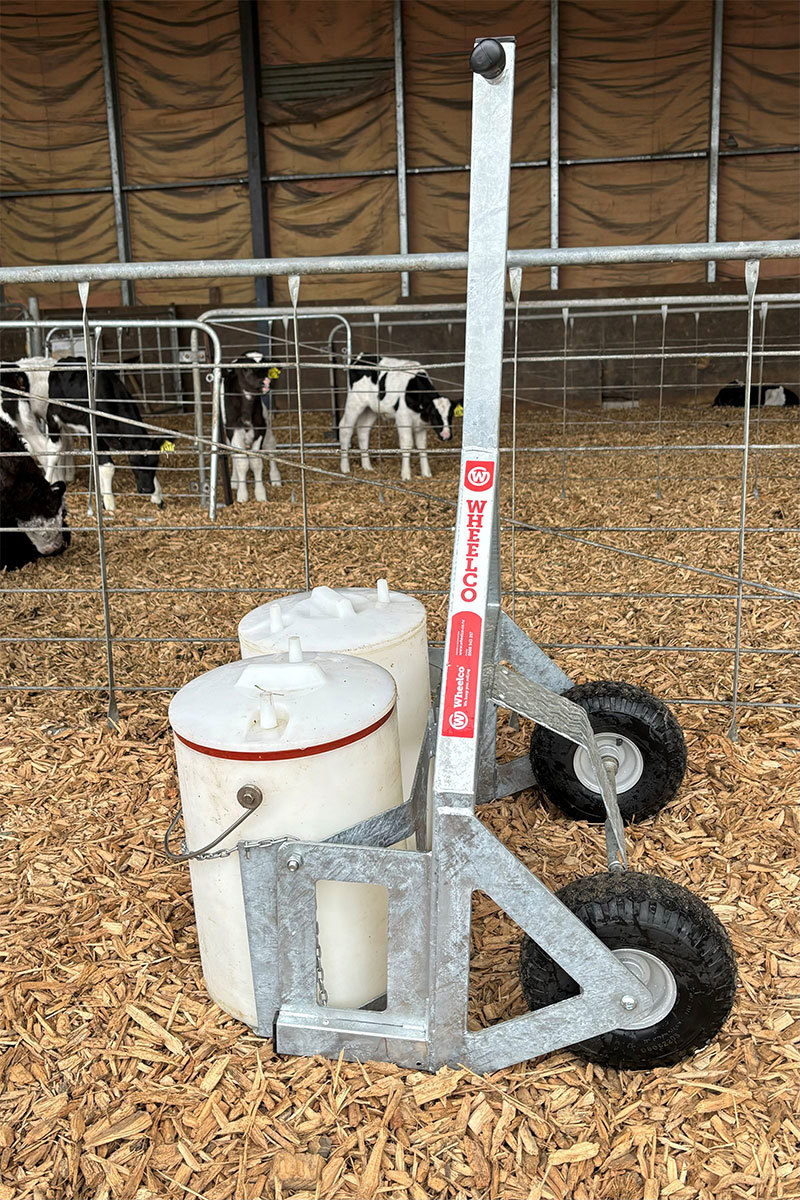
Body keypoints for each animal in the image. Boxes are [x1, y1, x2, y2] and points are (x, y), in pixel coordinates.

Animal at [221, 355, 281, 506]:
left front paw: (260, 494)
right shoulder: (234, 431)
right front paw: (242, 494)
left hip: (267, 424)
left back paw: (275, 477)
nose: (266, 381)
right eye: (246, 368)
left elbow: (256, 462)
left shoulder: (261, 429)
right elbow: (242, 462)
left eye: (266, 366)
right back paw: (234, 481)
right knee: (233, 454)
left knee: (270, 446)